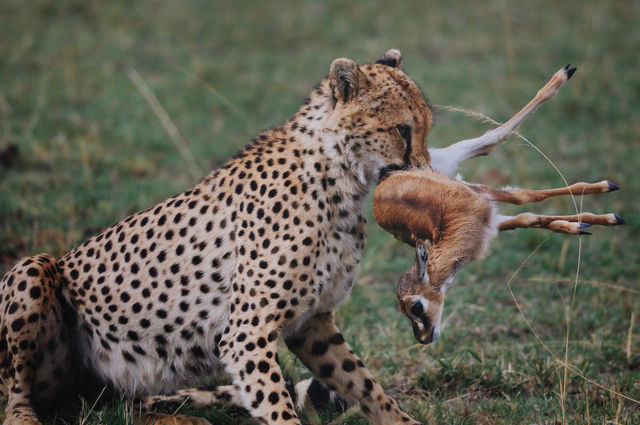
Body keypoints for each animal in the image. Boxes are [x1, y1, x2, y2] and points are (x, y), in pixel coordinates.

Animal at [1, 50, 430, 424]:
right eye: (402, 130)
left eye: (426, 128)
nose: (425, 172)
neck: (338, 177)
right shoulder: (245, 333)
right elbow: (278, 406)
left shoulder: (312, 323)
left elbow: (364, 384)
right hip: (32, 268)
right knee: (16, 393)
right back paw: (25, 417)